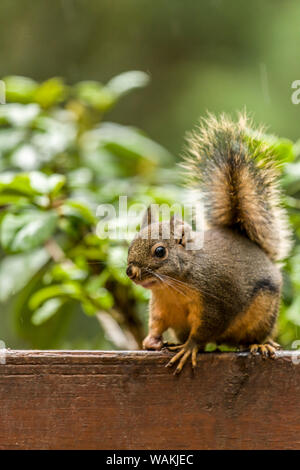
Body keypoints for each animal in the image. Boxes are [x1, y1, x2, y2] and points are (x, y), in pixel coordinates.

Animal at [126, 113, 290, 374]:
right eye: (130, 244)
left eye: (160, 251)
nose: (130, 271)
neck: (173, 286)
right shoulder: (160, 306)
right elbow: (156, 323)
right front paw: (151, 341)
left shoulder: (215, 302)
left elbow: (204, 330)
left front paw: (189, 348)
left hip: (264, 311)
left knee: (253, 336)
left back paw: (259, 344)